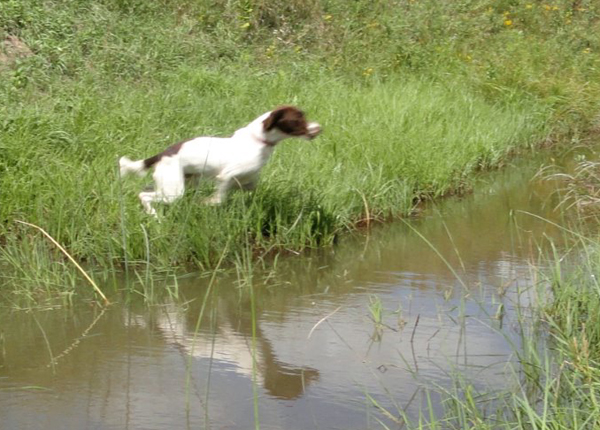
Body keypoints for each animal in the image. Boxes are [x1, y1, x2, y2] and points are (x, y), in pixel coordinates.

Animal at [119, 106, 322, 217]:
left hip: (180, 181)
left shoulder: (247, 179)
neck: (259, 141)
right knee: (143, 195)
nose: (318, 128)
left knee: (146, 190)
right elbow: (219, 198)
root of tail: (162, 154)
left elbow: (248, 186)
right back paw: (154, 216)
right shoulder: (227, 175)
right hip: (174, 191)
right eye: (297, 119)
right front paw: (207, 202)